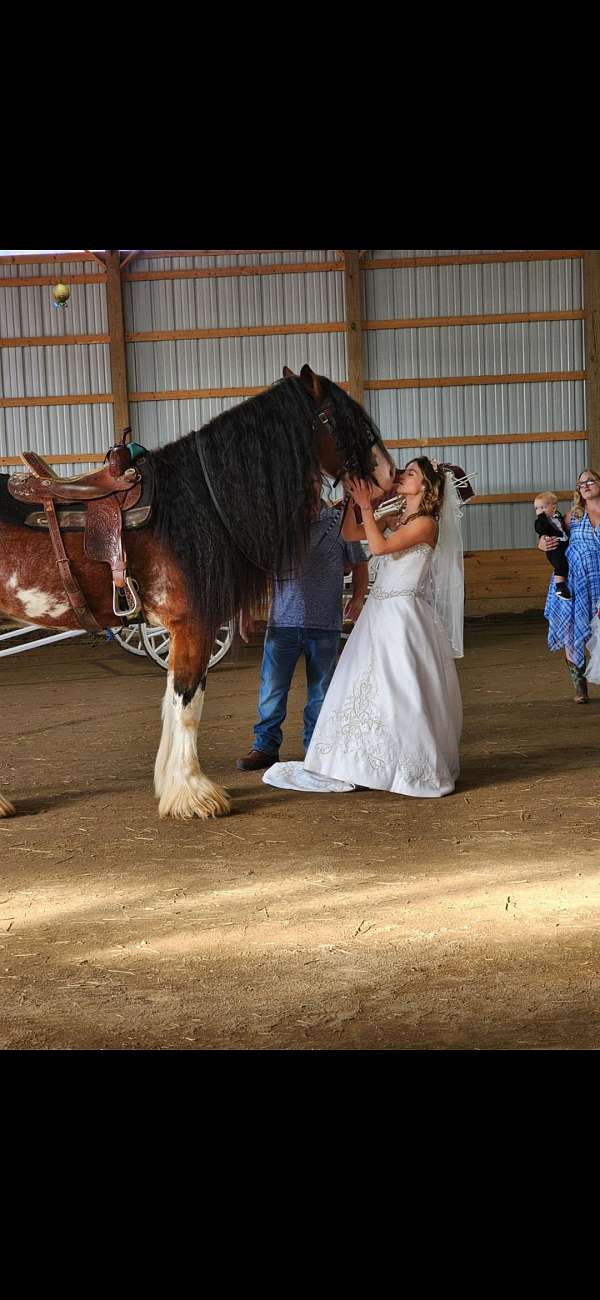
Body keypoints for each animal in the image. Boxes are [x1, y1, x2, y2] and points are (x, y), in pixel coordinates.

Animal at [1, 364, 394, 821]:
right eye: (341, 417)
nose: (388, 475)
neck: (195, 504)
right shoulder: (194, 625)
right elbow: (188, 707)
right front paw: (193, 793)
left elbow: (174, 704)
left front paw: (172, 785)